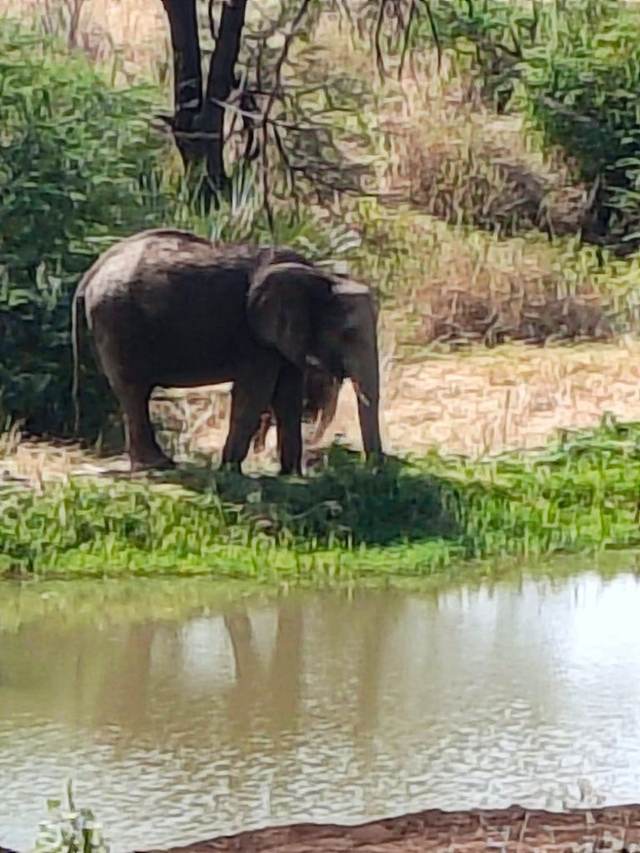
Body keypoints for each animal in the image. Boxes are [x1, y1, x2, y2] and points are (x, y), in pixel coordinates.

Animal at [71, 227, 382, 474]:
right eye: (347, 334)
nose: (374, 471)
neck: (322, 278)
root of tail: (92, 271)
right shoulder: (255, 338)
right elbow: (255, 392)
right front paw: (230, 471)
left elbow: (288, 396)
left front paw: (291, 475)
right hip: (117, 319)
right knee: (134, 390)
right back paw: (158, 465)